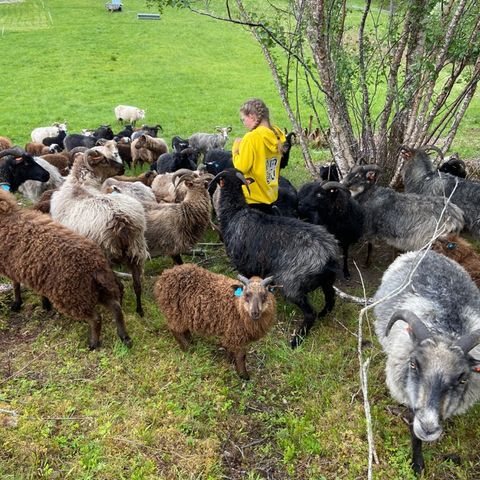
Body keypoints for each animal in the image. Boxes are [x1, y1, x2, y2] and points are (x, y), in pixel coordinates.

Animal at [0, 189, 131, 350]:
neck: (7, 217)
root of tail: (95, 266)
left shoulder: (10, 266)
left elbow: (15, 284)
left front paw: (17, 304)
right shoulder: (32, 271)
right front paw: (44, 304)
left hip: (72, 295)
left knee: (96, 318)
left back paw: (93, 344)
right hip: (93, 290)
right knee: (116, 308)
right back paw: (124, 337)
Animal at [50, 141, 148, 316]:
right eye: (104, 160)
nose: (123, 168)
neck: (80, 184)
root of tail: (121, 221)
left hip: (105, 254)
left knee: (120, 286)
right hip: (137, 249)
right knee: (137, 285)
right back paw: (139, 311)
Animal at [209, 167, 338, 346]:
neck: (235, 212)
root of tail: (329, 255)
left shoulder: (244, 266)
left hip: (291, 285)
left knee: (309, 313)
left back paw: (296, 340)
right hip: (327, 281)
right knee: (330, 298)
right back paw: (322, 315)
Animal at [376, 249, 480, 474]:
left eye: (462, 379)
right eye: (413, 364)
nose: (428, 428)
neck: (446, 331)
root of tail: (427, 251)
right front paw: (417, 465)